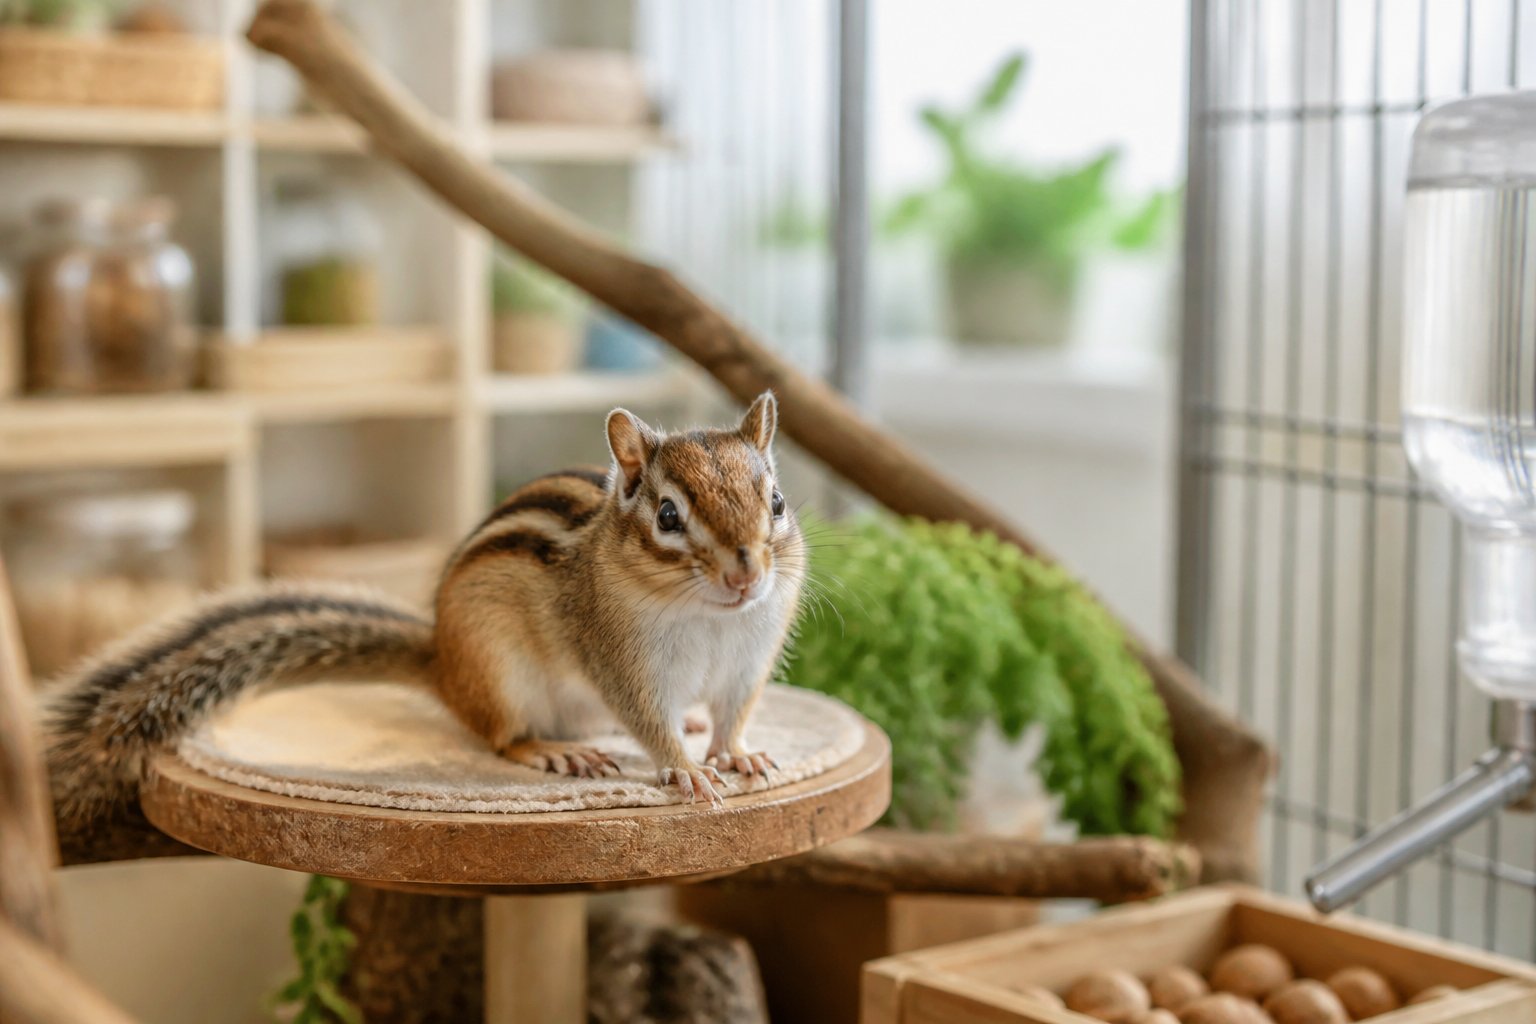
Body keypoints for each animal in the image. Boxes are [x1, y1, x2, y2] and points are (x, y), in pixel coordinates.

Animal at [42, 392, 806, 829]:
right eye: (669, 516)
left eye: (775, 501)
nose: (745, 570)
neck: (713, 618)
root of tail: (443, 661)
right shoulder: (621, 659)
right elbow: (647, 719)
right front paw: (686, 767)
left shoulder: (748, 660)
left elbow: (735, 712)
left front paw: (736, 752)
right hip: (500, 673)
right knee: (500, 736)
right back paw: (553, 750)